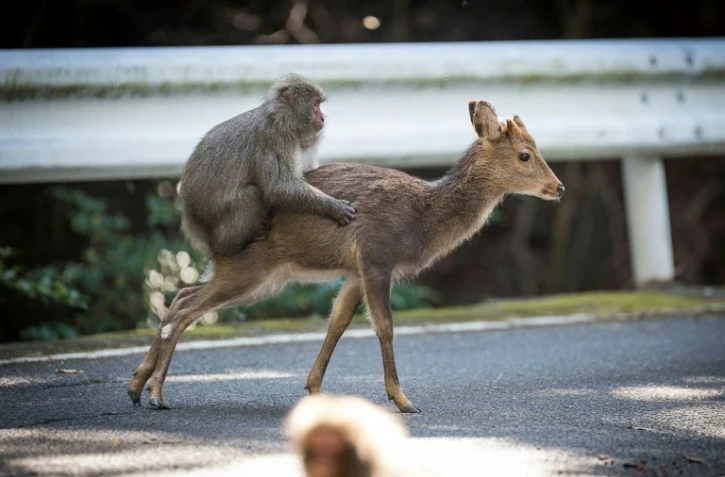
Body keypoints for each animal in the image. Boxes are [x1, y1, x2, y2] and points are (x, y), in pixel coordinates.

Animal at [178, 73, 356, 255]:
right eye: (315, 104)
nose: (322, 117)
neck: (282, 119)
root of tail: (191, 218)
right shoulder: (275, 138)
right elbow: (278, 187)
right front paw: (333, 207)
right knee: (250, 194)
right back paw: (229, 245)